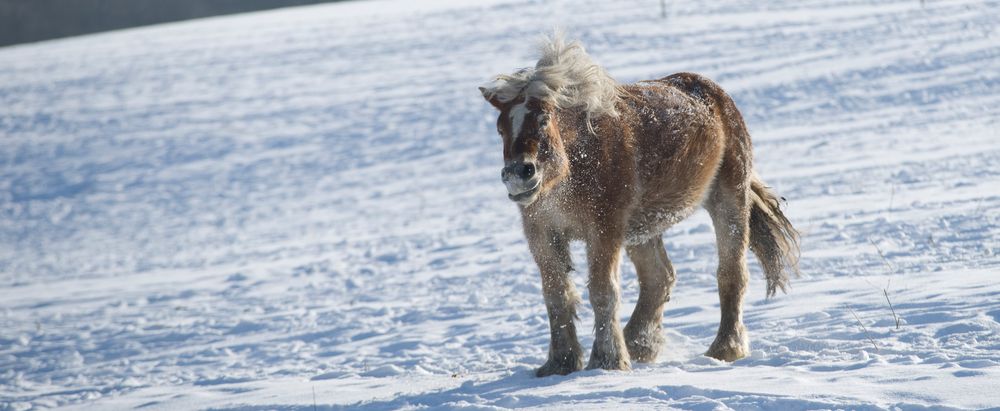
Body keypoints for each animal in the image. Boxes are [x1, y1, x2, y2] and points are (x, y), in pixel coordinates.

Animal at [480, 33, 800, 378]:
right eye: (500, 128)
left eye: (542, 119)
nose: (519, 174)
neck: (576, 164)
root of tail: (716, 94)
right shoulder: (541, 232)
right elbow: (556, 295)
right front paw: (560, 364)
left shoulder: (604, 229)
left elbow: (603, 291)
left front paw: (606, 361)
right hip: (642, 230)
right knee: (660, 278)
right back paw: (639, 344)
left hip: (728, 200)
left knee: (731, 274)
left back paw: (724, 349)